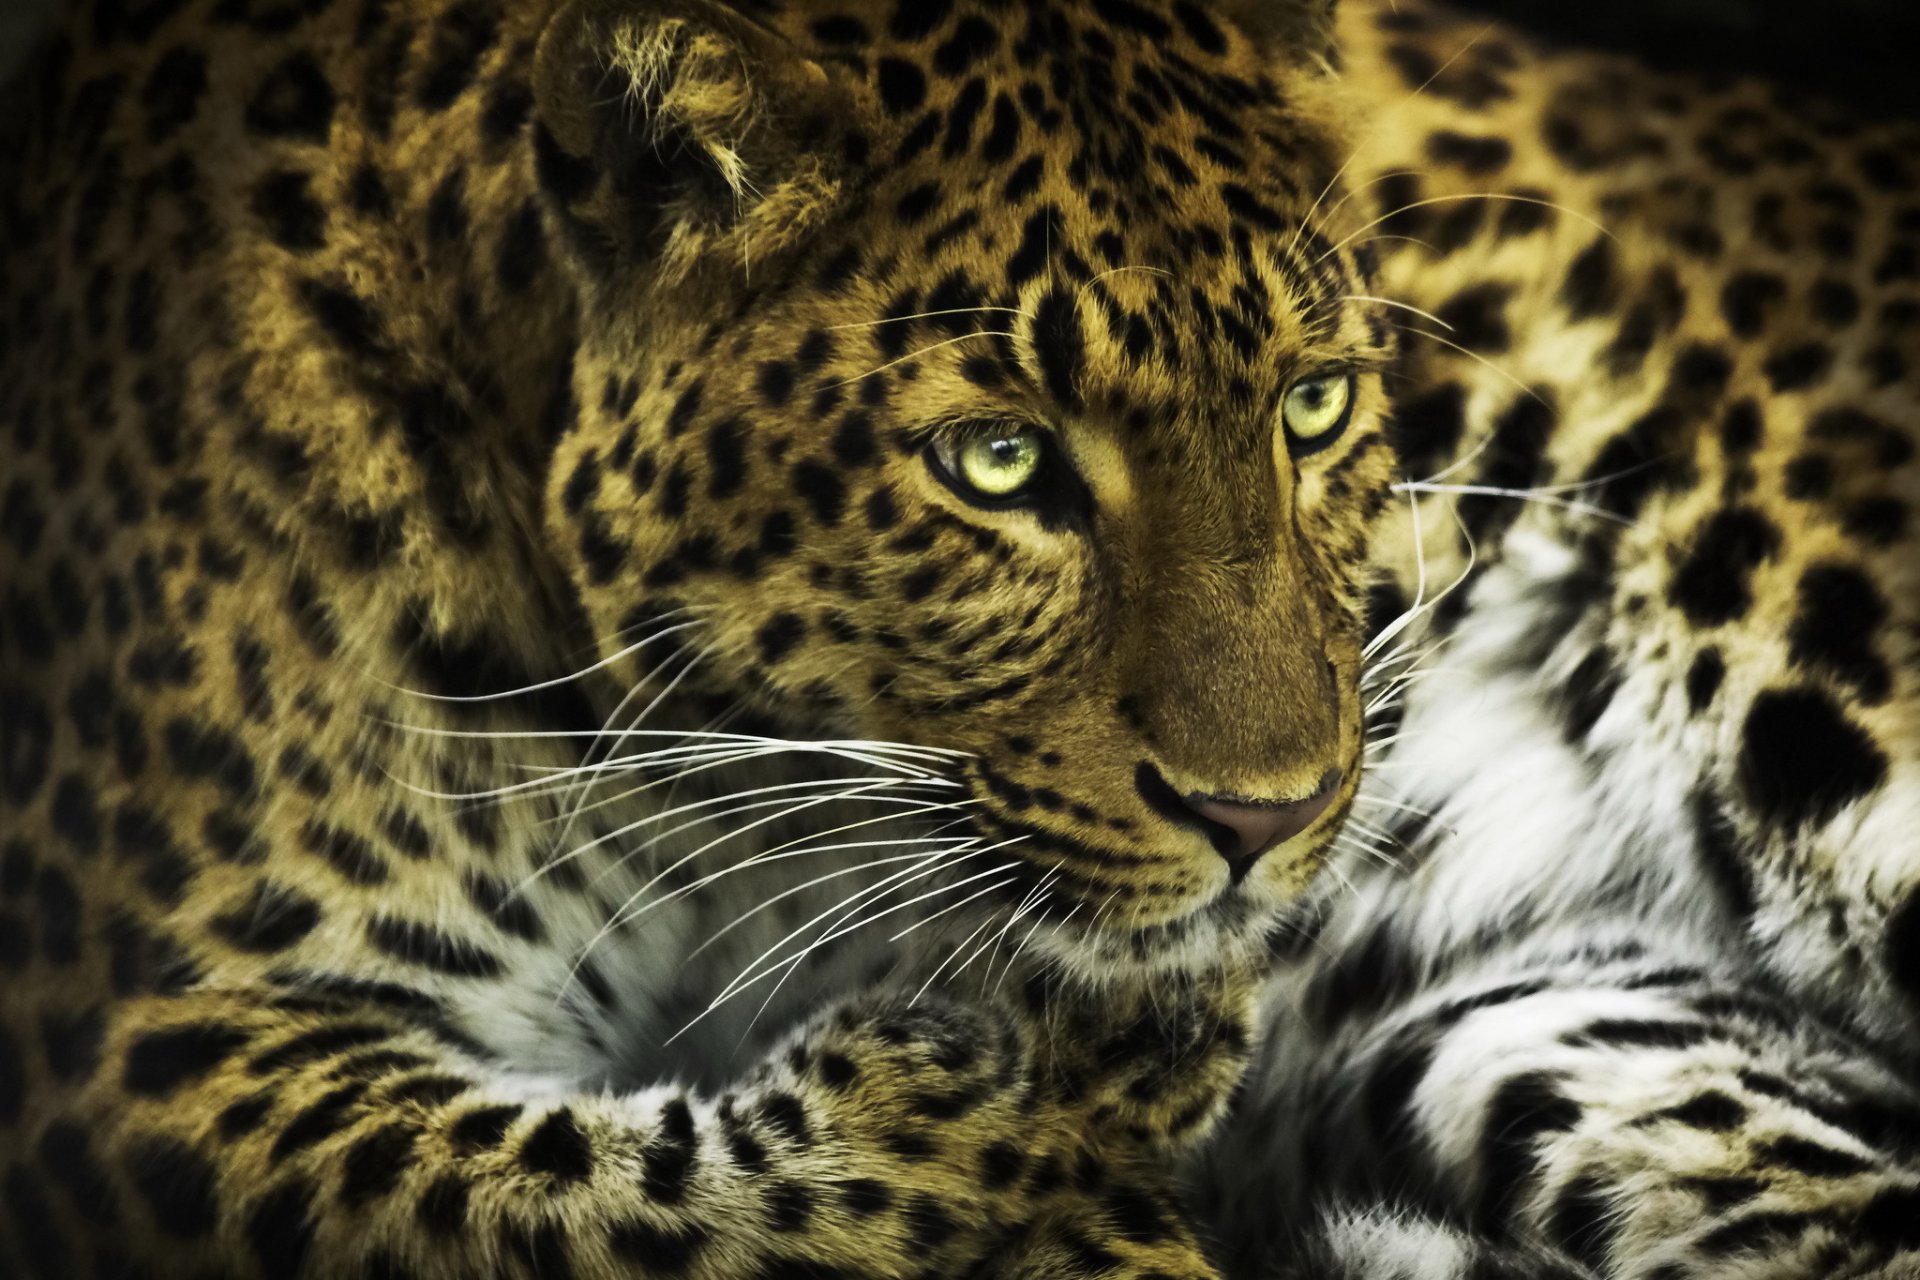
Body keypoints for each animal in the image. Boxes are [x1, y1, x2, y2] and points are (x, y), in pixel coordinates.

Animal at [0, 0, 1407, 1277]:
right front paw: (1046, 1058)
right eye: (1000, 460)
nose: (1268, 818)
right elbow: (581, 1200)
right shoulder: (125, 1037)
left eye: (1314, 405)